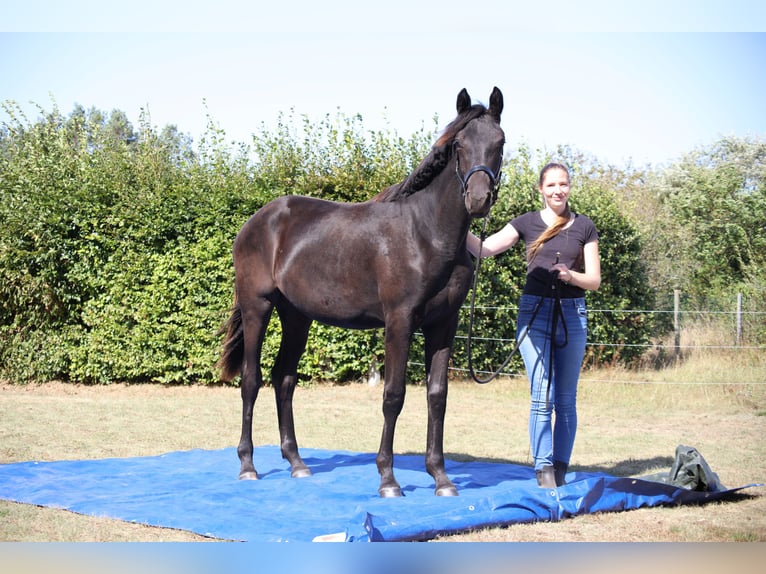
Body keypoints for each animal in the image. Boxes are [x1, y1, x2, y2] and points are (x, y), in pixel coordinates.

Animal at [218, 86, 504, 500]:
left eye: (500, 142)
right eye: (459, 146)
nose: (478, 199)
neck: (427, 234)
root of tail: (258, 220)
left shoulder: (443, 325)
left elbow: (437, 396)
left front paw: (441, 478)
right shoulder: (399, 321)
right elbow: (394, 395)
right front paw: (388, 480)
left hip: (296, 316)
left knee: (283, 379)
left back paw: (297, 463)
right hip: (258, 307)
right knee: (251, 380)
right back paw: (248, 466)